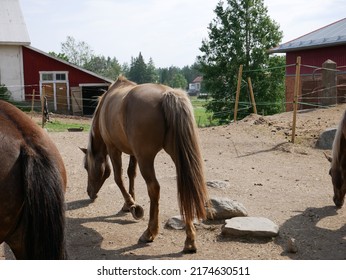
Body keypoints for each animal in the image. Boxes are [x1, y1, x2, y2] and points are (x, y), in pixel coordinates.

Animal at [82, 76, 208, 254]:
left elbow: (118, 177)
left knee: (154, 188)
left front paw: (133, 206)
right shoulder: (133, 153)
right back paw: (190, 241)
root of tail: (167, 94)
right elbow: (131, 174)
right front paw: (128, 203)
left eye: (86, 167)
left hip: (146, 158)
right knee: (185, 188)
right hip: (177, 156)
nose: (89, 193)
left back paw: (149, 233)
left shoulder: (114, 149)